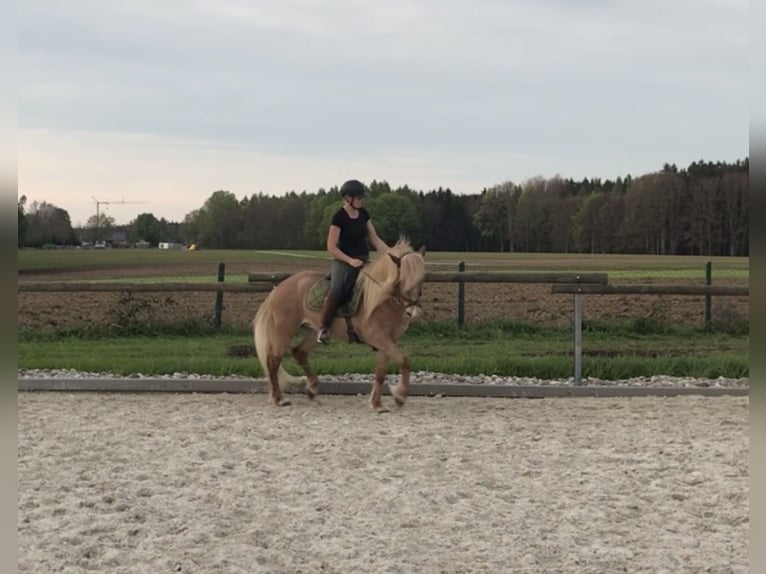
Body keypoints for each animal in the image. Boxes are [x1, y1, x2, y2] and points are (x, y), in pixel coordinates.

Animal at [253, 239, 426, 412]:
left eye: (421, 279)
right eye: (403, 279)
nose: (413, 312)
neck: (382, 299)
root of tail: (279, 288)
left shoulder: (388, 340)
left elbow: (381, 371)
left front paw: (378, 404)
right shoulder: (378, 337)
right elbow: (404, 361)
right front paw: (400, 396)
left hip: (313, 330)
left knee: (299, 353)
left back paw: (312, 389)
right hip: (284, 330)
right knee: (273, 360)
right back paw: (279, 399)